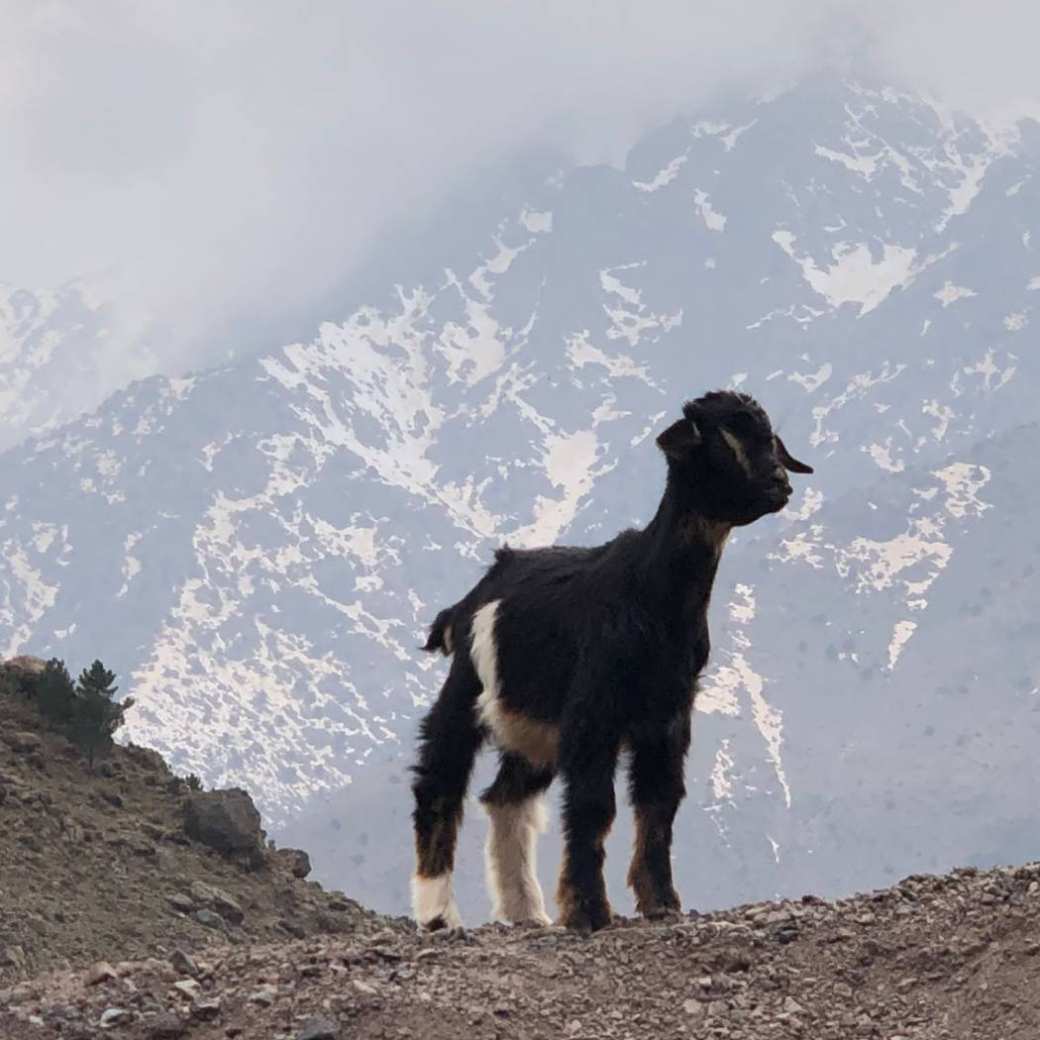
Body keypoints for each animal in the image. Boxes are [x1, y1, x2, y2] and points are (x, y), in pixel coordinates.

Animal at [405, 391, 811, 935]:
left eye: (769, 437)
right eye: (721, 441)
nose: (780, 484)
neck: (650, 592)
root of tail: (467, 601)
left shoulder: (668, 716)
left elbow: (659, 803)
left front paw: (660, 901)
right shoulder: (593, 714)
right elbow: (595, 805)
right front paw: (589, 910)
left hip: (532, 729)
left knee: (505, 798)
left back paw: (526, 910)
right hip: (465, 694)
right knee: (438, 786)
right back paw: (438, 914)